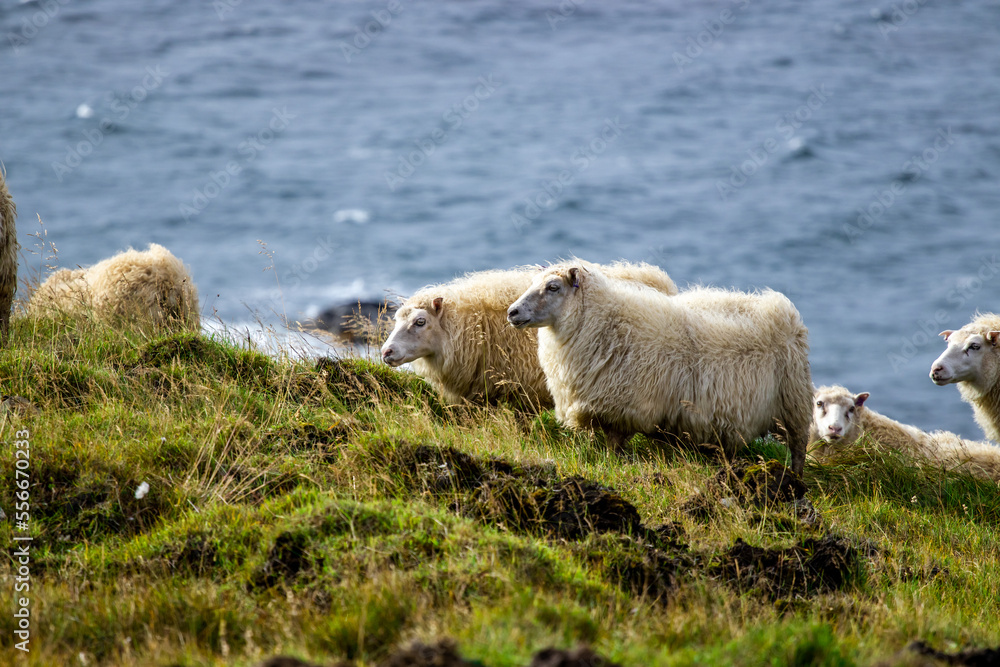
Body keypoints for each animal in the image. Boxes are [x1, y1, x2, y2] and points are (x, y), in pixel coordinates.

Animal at [506, 261, 812, 475]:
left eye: (553, 287)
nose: (512, 312)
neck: (602, 320)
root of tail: (784, 309)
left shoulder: (625, 409)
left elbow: (614, 446)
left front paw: (613, 464)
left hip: (793, 399)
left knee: (798, 444)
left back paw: (795, 477)